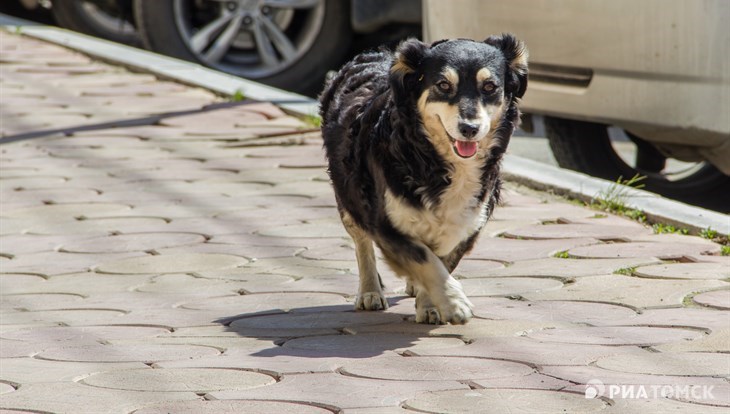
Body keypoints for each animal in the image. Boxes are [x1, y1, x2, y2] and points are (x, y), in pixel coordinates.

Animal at [316, 34, 528, 326]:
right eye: (443, 85)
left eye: (489, 87)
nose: (469, 128)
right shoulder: (386, 223)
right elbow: (424, 260)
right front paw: (454, 303)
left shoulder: (467, 223)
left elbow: (440, 261)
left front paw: (431, 305)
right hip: (347, 194)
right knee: (362, 243)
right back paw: (370, 291)